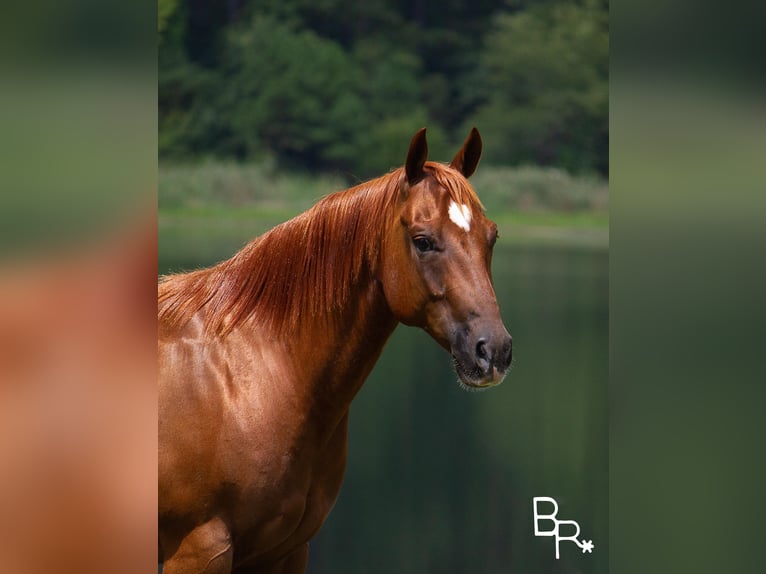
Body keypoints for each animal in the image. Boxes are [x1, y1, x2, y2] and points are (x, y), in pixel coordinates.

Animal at [158, 128, 512, 572]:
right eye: (423, 241)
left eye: (491, 236)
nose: (493, 350)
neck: (244, 380)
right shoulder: (200, 550)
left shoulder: (286, 551)